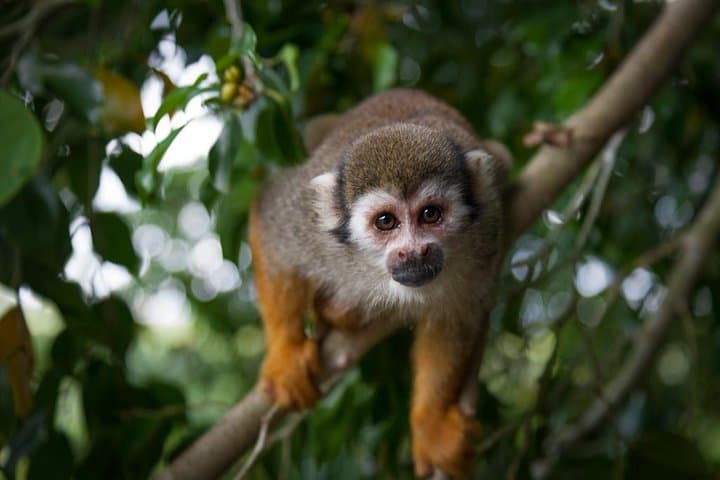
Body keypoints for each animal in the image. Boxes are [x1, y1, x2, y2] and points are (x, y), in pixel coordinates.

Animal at [249, 88, 510, 478]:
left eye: (431, 214)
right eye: (385, 221)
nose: (413, 252)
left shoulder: (486, 232)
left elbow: (456, 317)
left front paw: (431, 424)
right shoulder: (308, 222)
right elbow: (270, 221)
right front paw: (286, 354)